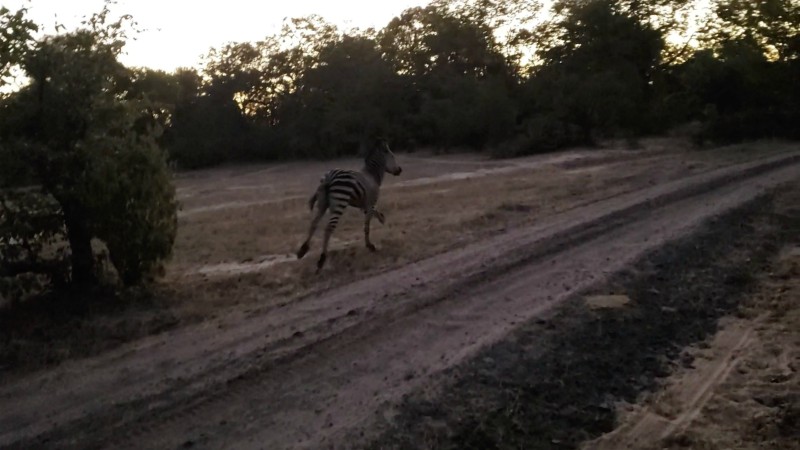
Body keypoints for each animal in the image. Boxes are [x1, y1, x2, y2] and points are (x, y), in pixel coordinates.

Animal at [296, 138, 404, 270]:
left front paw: (382, 218)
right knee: (328, 228)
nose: (400, 170)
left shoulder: (364, 205)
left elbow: (375, 213)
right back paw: (322, 259)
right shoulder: (370, 203)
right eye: (392, 156)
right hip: (339, 203)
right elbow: (367, 226)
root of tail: (329, 177)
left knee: (314, 223)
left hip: (323, 204)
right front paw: (370, 246)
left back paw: (303, 250)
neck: (372, 175)